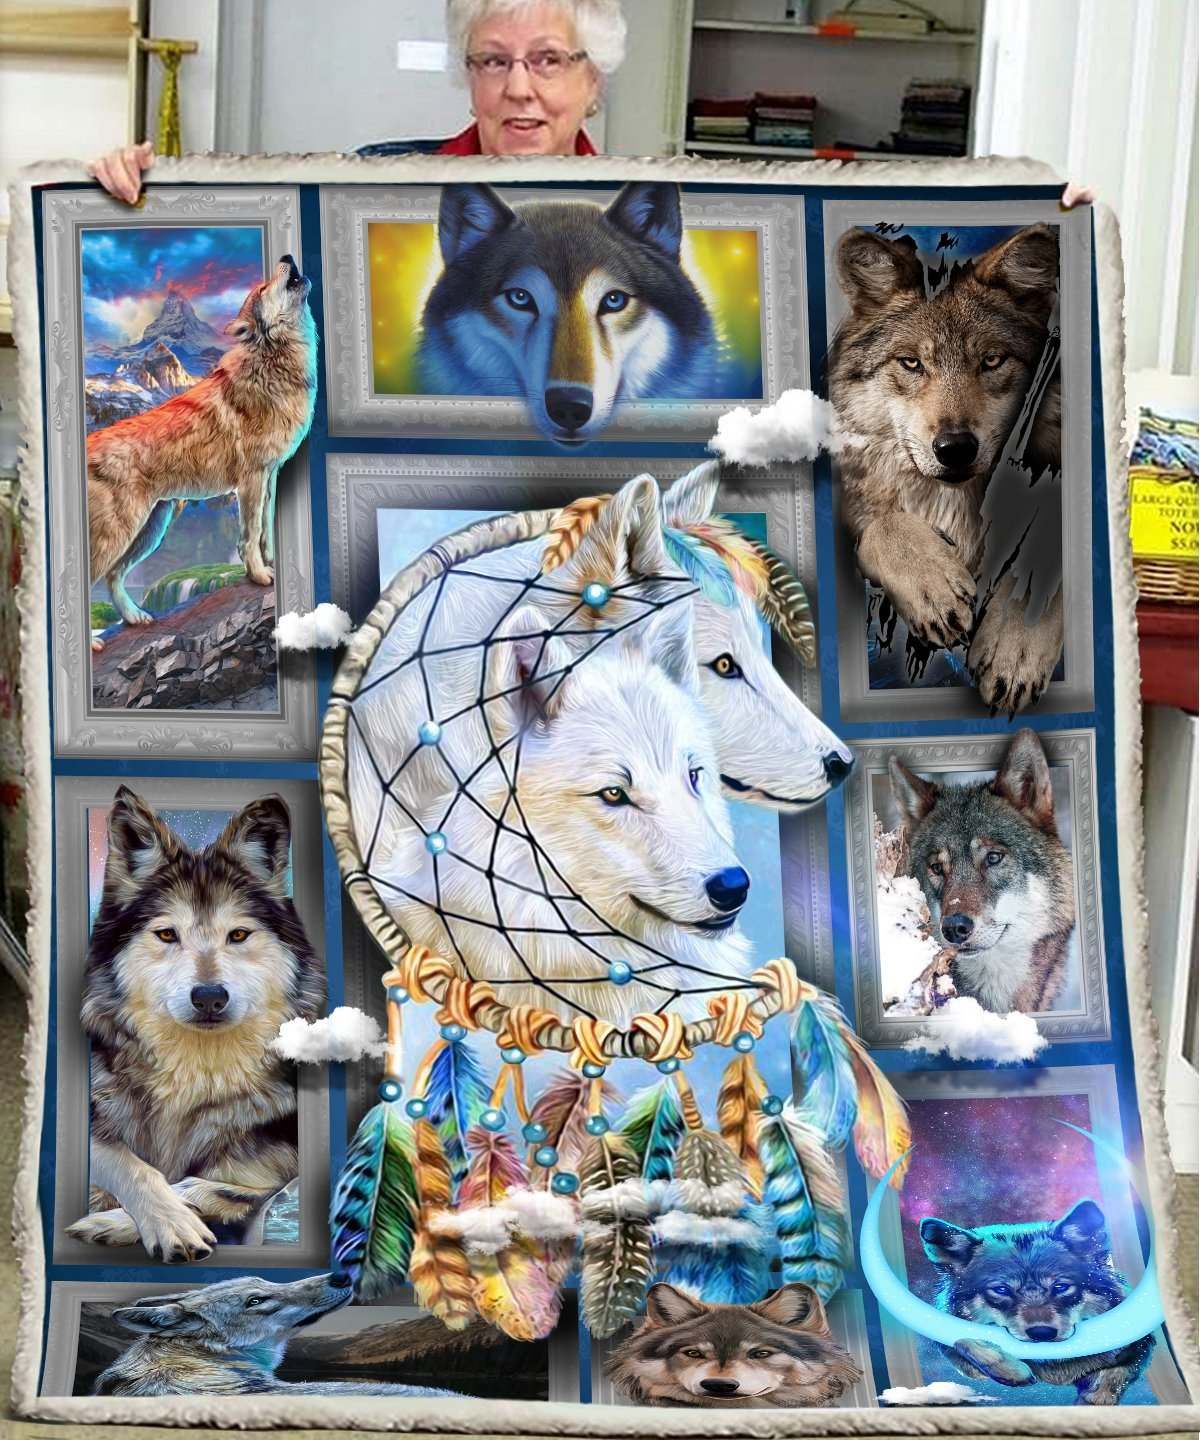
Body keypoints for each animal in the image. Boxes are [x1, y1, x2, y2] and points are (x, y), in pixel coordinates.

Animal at [66, 787, 325, 1263]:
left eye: (237, 935)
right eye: (168, 934)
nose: (209, 997)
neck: (192, 1079)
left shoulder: (276, 1162)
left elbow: (216, 1187)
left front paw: (115, 1223)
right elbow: (134, 1165)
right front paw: (166, 1223)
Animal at [88, 255, 317, 632]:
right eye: (262, 288)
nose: (286, 257)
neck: (274, 364)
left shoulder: (270, 475)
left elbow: (266, 529)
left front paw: (273, 564)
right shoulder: (251, 479)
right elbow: (251, 533)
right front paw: (259, 576)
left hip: (152, 529)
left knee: (113, 576)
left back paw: (135, 617)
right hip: (121, 532)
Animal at [828, 224, 1062, 713]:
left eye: (991, 360)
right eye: (912, 363)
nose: (954, 449)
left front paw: (1015, 647)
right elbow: (883, 525)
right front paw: (933, 588)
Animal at [920, 1200, 1155, 1406]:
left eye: (1061, 1286)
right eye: (1001, 1290)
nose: (1042, 1332)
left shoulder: (1142, 1345)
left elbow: (1114, 1373)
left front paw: (1094, 1399)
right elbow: (962, 1340)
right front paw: (1011, 1369)